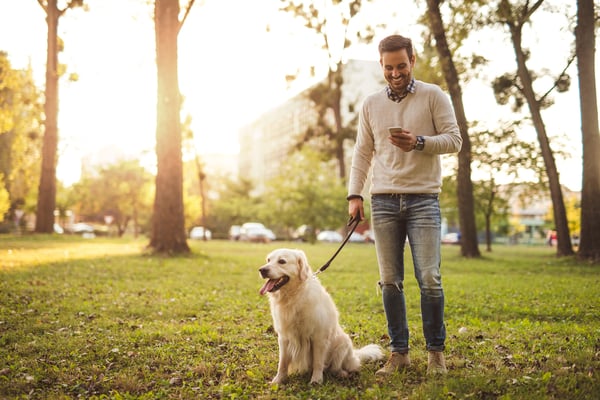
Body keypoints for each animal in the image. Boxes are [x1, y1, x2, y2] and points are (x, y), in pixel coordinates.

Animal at [258, 247, 384, 384]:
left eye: (282, 261)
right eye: (268, 260)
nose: (262, 270)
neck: (295, 296)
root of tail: (355, 355)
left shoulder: (319, 337)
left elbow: (318, 362)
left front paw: (316, 380)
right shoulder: (284, 337)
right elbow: (283, 363)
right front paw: (278, 380)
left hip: (343, 343)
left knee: (338, 368)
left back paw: (342, 374)